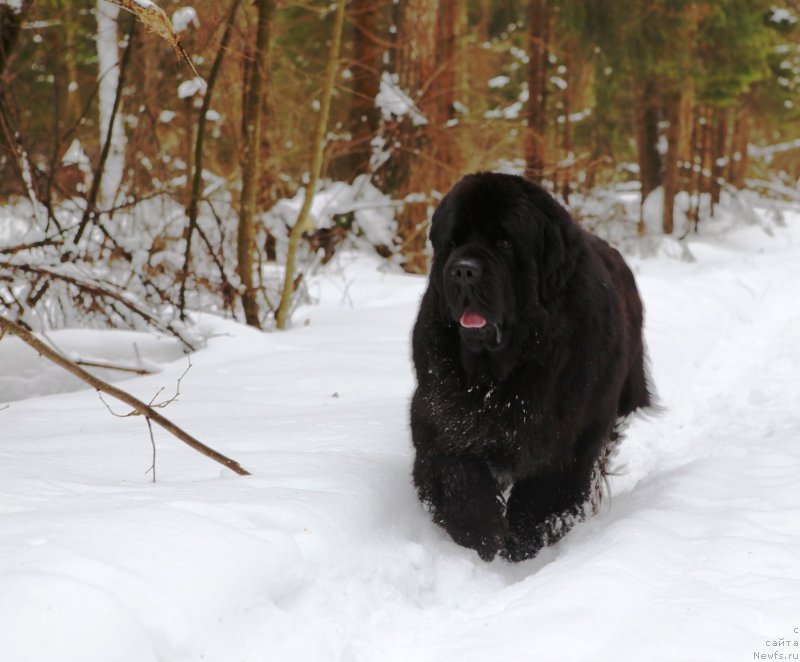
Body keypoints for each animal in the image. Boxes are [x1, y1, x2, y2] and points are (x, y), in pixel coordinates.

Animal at [412, 174, 648, 564]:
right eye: (455, 242)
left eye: (505, 242)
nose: (463, 270)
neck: (501, 374)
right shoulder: (440, 413)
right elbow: (456, 470)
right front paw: (481, 530)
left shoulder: (574, 429)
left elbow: (546, 488)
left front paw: (523, 538)